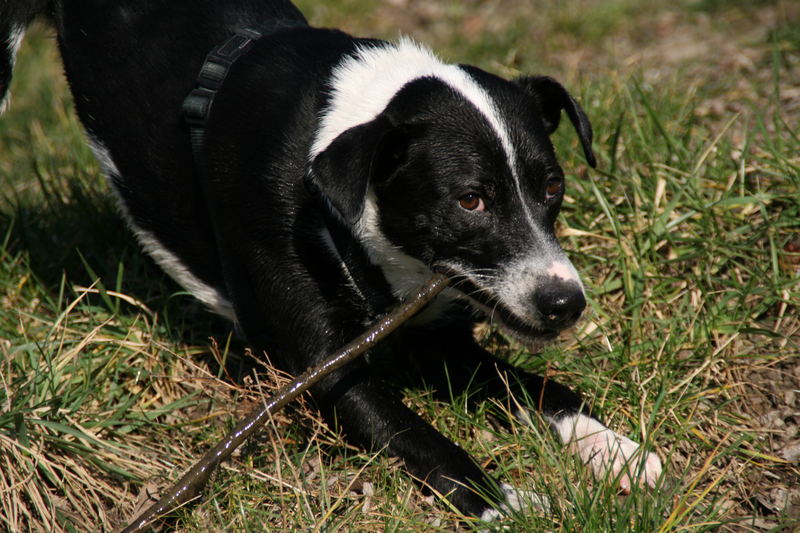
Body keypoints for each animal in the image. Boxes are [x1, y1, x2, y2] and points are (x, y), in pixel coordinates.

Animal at [0, 0, 664, 520]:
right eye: (470, 200)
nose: (565, 303)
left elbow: (532, 386)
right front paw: (502, 503)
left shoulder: (438, 337)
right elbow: (418, 436)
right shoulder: (326, 369)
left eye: (552, 187)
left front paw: (611, 446)